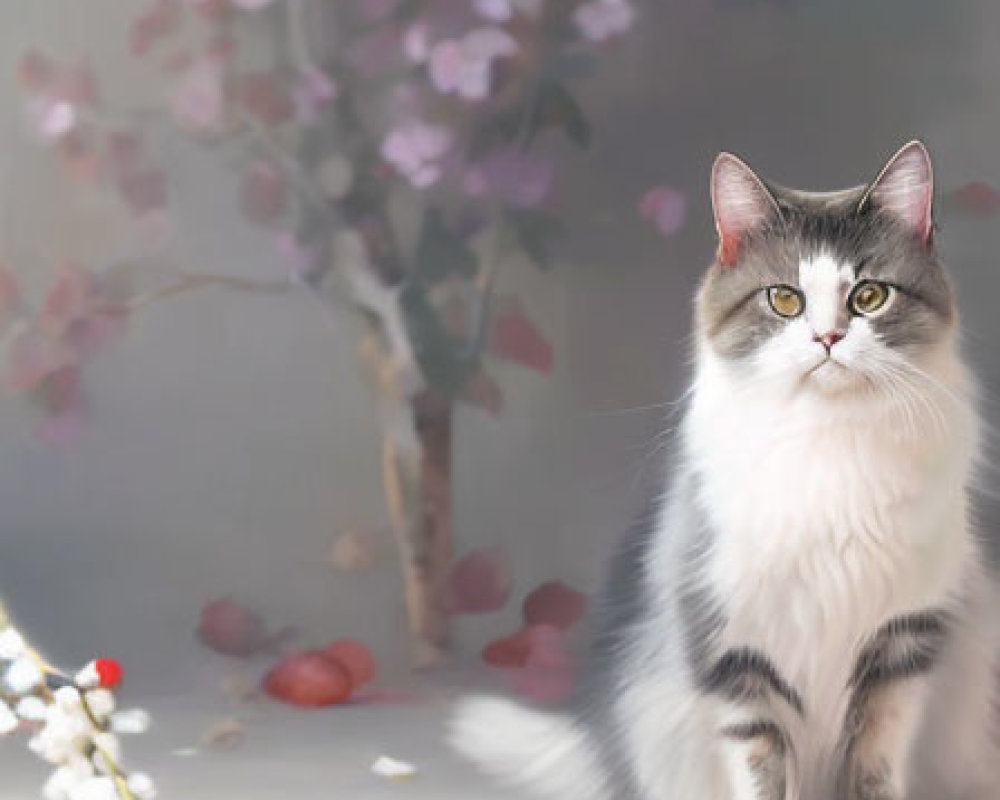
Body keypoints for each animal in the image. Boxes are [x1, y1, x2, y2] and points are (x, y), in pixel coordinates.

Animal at [450, 144, 1000, 800]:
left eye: (869, 296)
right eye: (784, 299)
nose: (828, 337)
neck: (830, 443)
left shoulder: (902, 646)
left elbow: (875, 767)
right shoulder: (732, 648)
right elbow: (763, 770)